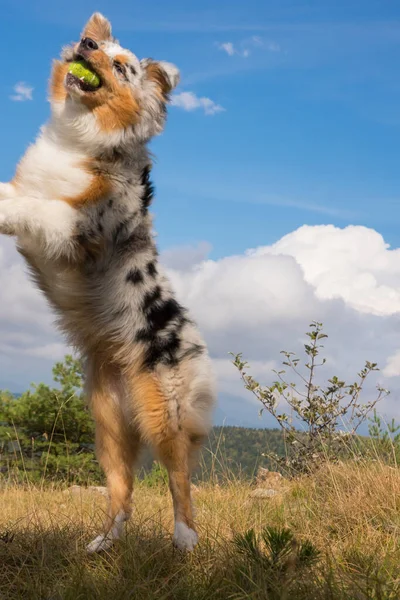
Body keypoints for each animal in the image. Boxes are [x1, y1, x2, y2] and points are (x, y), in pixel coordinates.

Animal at [0, 12, 216, 552]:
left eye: (122, 67)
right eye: (92, 44)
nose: (87, 43)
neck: (79, 138)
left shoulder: (77, 228)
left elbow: (34, 206)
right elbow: (18, 195)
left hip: (166, 413)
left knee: (180, 481)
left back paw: (185, 541)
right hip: (108, 427)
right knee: (123, 492)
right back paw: (105, 544)